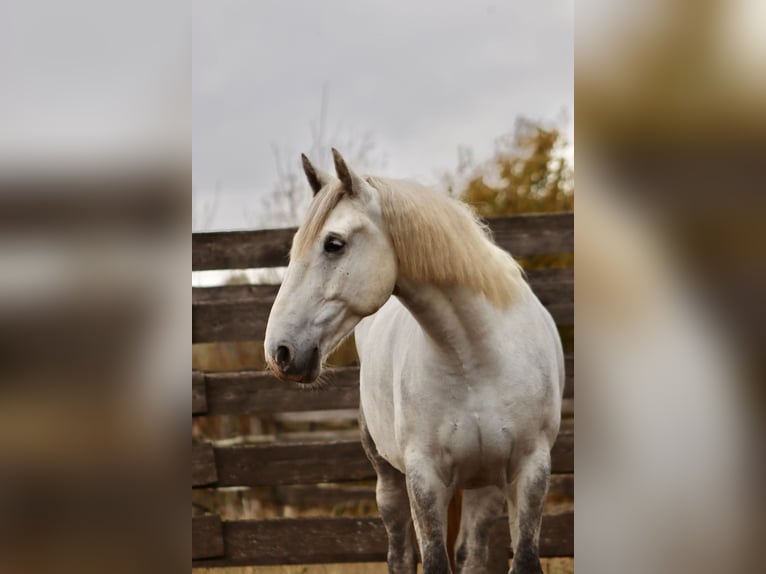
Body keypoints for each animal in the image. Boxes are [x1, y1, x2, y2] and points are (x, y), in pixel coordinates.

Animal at [268, 151, 568, 572]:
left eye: (333, 243)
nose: (280, 352)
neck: (476, 360)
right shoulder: (424, 479)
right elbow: (433, 561)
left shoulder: (530, 470)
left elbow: (522, 559)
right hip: (390, 483)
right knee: (400, 555)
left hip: (486, 485)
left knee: (471, 553)